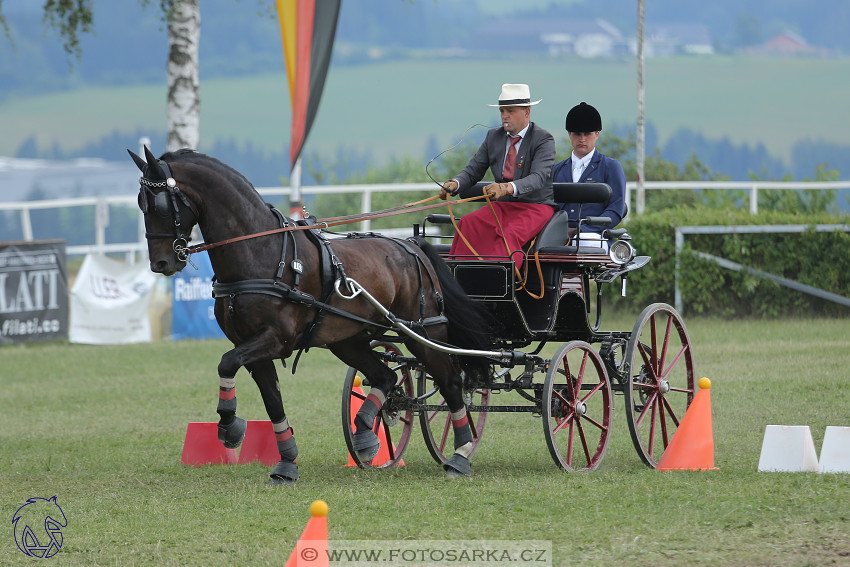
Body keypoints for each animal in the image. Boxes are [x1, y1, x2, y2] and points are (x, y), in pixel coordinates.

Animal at [131, 146, 490, 484]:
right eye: (140, 204)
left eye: (159, 204)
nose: (161, 263)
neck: (260, 254)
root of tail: (413, 246)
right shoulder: (253, 347)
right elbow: (270, 400)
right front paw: (285, 462)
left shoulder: (275, 340)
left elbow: (227, 362)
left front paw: (231, 427)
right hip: (349, 341)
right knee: (386, 378)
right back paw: (365, 435)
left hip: (423, 333)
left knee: (450, 383)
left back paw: (460, 453)